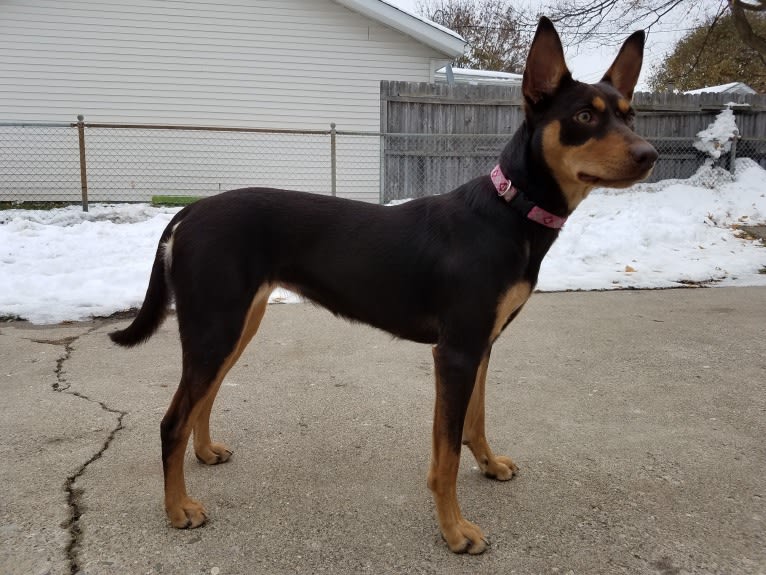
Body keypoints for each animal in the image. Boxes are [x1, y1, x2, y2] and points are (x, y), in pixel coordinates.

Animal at [112, 20, 660, 556]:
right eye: (584, 116)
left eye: (631, 116)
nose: (650, 154)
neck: (509, 213)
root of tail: (189, 213)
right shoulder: (456, 352)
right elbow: (445, 455)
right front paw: (455, 531)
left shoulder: (481, 345)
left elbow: (475, 421)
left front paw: (489, 465)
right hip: (216, 327)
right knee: (172, 420)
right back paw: (178, 509)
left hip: (236, 325)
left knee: (202, 400)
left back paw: (205, 453)